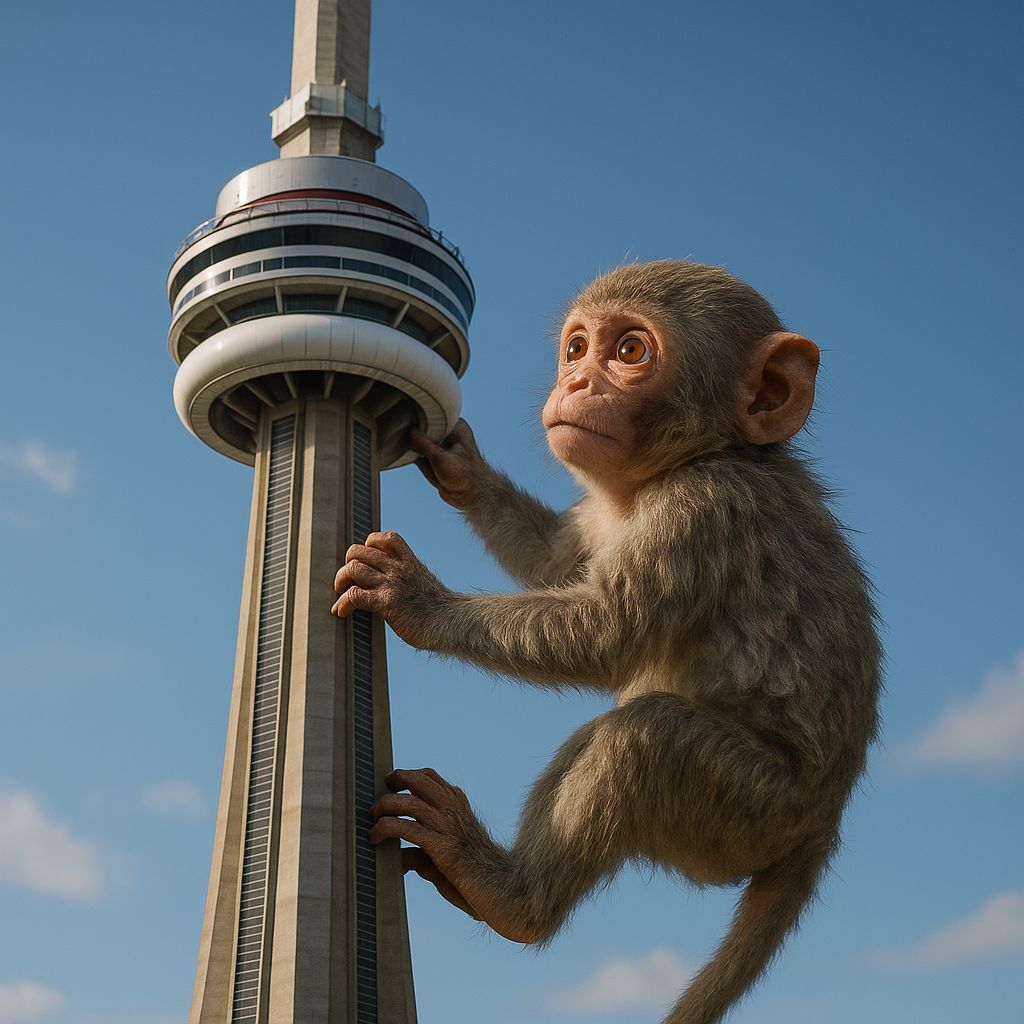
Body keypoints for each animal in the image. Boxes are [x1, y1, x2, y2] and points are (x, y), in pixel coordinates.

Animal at [331, 259, 881, 1024]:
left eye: (629, 352)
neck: (698, 456)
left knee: (642, 737)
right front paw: (464, 469)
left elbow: (605, 634)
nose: (576, 385)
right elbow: (559, 563)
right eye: (576, 348)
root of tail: (823, 819)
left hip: (748, 811)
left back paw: (511, 897)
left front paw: (414, 599)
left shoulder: (703, 507)